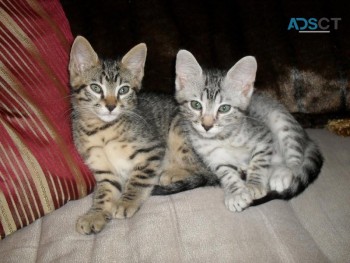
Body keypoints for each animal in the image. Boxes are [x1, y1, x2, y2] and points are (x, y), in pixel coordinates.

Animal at [174, 50, 324, 213]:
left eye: (224, 108)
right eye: (196, 105)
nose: (207, 126)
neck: (223, 137)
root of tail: (306, 137)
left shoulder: (264, 136)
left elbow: (259, 162)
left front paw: (254, 185)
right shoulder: (212, 157)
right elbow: (225, 172)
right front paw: (236, 193)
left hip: (281, 120)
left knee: (295, 156)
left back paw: (283, 173)